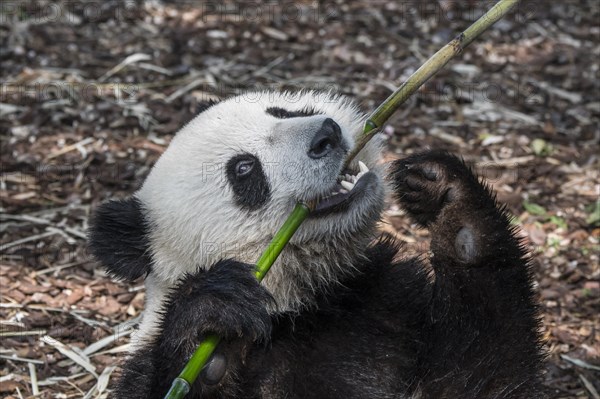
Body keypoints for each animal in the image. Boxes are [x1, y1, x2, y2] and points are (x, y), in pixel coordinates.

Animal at [88, 91, 544, 399]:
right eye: (243, 169)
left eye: (285, 112)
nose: (326, 134)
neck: (301, 305)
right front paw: (210, 330)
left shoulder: (384, 305)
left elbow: (484, 374)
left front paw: (447, 197)